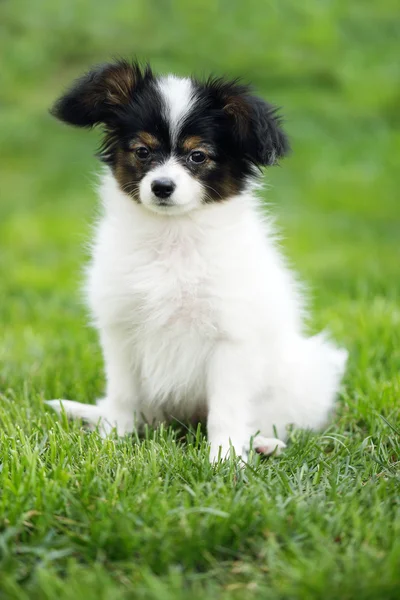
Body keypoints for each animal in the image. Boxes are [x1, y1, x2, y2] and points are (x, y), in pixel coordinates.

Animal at [46, 59, 346, 460]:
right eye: (143, 152)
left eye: (197, 156)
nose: (162, 187)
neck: (173, 237)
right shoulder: (121, 328)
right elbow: (123, 394)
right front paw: (113, 440)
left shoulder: (230, 337)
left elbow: (226, 409)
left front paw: (225, 458)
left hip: (307, 376)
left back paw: (262, 442)